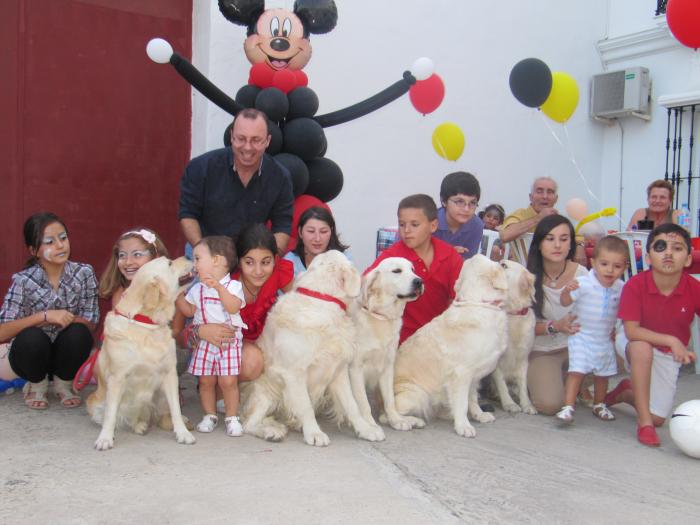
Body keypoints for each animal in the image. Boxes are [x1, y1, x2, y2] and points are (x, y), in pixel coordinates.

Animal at [89, 256, 197, 448]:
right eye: (169, 263)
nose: (188, 256)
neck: (147, 323)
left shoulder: (170, 374)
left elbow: (176, 409)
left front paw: (183, 433)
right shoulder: (117, 378)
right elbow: (110, 415)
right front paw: (105, 438)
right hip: (95, 403)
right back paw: (138, 425)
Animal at [239, 250, 382, 446]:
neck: (321, 298)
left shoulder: (338, 370)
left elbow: (352, 404)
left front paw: (366, 429)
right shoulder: (294, 373)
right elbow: (305, 406)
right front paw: (314, 433)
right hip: (266, 390)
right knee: (249, 423)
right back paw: (271, 431)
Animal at [348, 256, 424, 430]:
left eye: (412, 270)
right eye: (397, 271)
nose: (419, 281)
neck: (382, 317)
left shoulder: (388, 366)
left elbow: (390, 401)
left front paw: (396, 420)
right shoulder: (356, 369)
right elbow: (363, 404)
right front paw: (370, 425)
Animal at [394, 256, 508, 436]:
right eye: (497, 263)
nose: (503, 261)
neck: (478, 302)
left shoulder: (474, 375)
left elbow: (472, 398)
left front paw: (479, 415)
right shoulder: (461, 373)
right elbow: (462, 403)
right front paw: (463, 426)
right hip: (416, 395)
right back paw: (413, 421)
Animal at [490, 258, 540, 414]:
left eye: (504, 265)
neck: (512, 314)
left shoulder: (524, 357)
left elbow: (523, 383)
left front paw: (527, 404)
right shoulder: (496, 360)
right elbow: (501, 382)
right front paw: (509, 403)